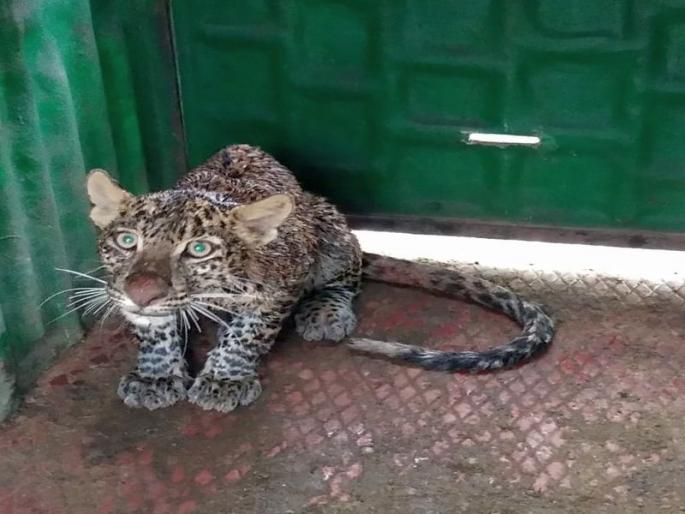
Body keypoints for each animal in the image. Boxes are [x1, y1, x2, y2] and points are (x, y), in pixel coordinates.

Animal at [84, 144, 555, 412]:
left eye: (199, 249)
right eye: (126, 241)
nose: (141, 292)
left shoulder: (276, 290)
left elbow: (245, 337)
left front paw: (225, 380)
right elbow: (154, 334)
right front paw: (155, 377)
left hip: (330, 228)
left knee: (351, 271)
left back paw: (326, 313)